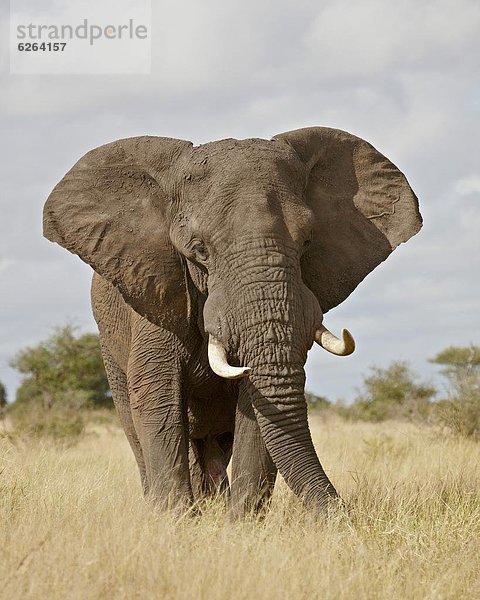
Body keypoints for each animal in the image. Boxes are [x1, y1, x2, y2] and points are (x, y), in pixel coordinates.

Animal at [43, 125, 422, 516]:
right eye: (199, 249)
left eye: (307, 241)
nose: (342, 517)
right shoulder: (156, 292)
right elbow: (158, 397)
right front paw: (173, 520)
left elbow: (255, 404)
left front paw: (239, 523)